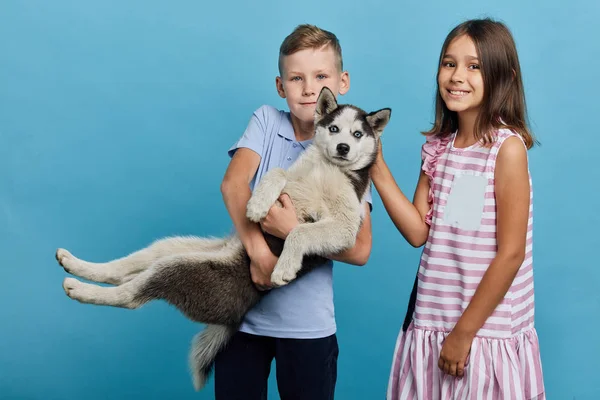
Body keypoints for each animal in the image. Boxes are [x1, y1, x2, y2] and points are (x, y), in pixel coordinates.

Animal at [55, 86, 390, 390]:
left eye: (357, 134)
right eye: (334, 129)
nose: (343, 148)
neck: (326, 167)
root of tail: (237, 314)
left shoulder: (346, 227)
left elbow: (299, 230)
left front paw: (284, 266)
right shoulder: (295, 177)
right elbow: (277, 172)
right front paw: (257, 204)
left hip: (181, 270)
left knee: (129, 295)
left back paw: (78, 288)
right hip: (175, 250)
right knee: (124, 270)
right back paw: (74, 264)